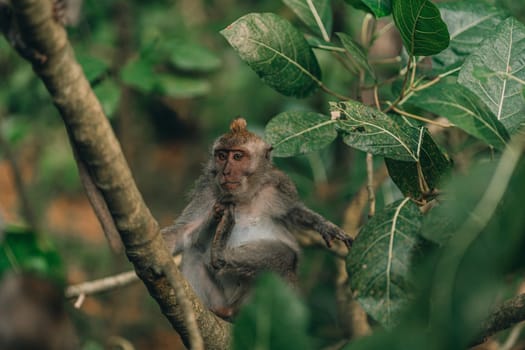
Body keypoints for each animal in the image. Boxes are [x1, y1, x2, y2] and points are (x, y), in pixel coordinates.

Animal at [162, 118, 350, 320]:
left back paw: (220, 256)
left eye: (237, 157)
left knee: (287, 257)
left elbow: (294, 212)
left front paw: (324, 225)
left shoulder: (279, 185)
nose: (225, 172)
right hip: (220, 298)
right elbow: (185, 231)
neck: (243, 198)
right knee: (194, 252)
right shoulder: (207, 191)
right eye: (222, 156)